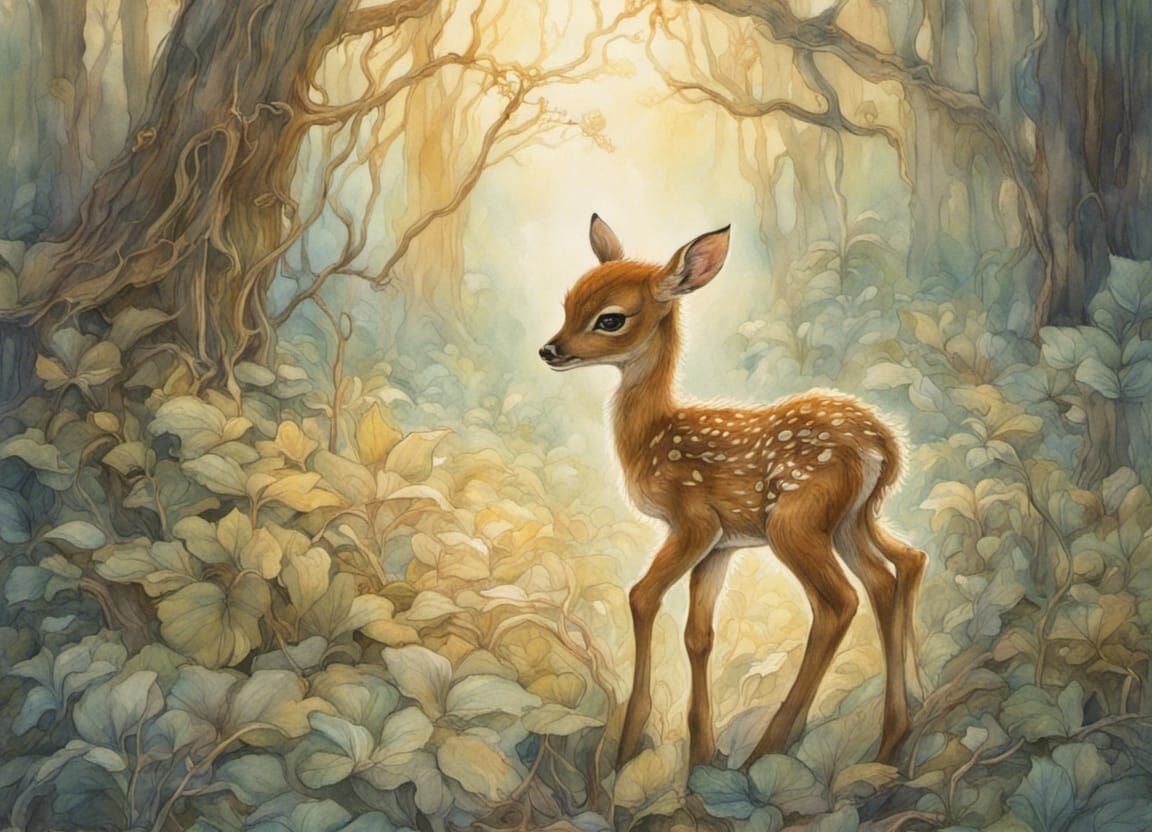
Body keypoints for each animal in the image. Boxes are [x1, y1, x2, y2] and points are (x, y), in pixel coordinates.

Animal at [539, 215, 926, 769]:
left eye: (610, 319)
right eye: (568, 301)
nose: (550, 350)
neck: (654, 436)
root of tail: (885, 445)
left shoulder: (693, 519)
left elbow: (641, 596)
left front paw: (627, 747)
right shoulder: (721, 543)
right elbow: (698, 635)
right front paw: (702, 752)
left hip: (796, 520)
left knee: (839, 602)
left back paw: (769, 748)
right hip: (854, 518)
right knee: (892, 573)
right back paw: (892, 736)